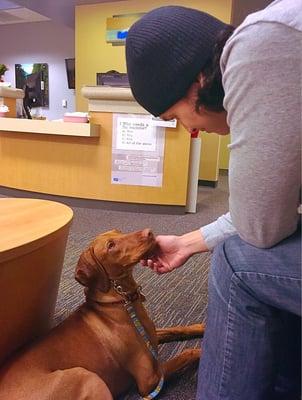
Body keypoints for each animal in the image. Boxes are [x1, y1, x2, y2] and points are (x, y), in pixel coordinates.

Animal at [0, 230, 205, 398]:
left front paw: (202, 327)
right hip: (87, 377)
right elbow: (187, 352)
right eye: (111, 245)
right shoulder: (149, 379)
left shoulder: (151, 333)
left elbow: (176, 329)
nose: (149, 232)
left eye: (120, 232)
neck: (122, 301)